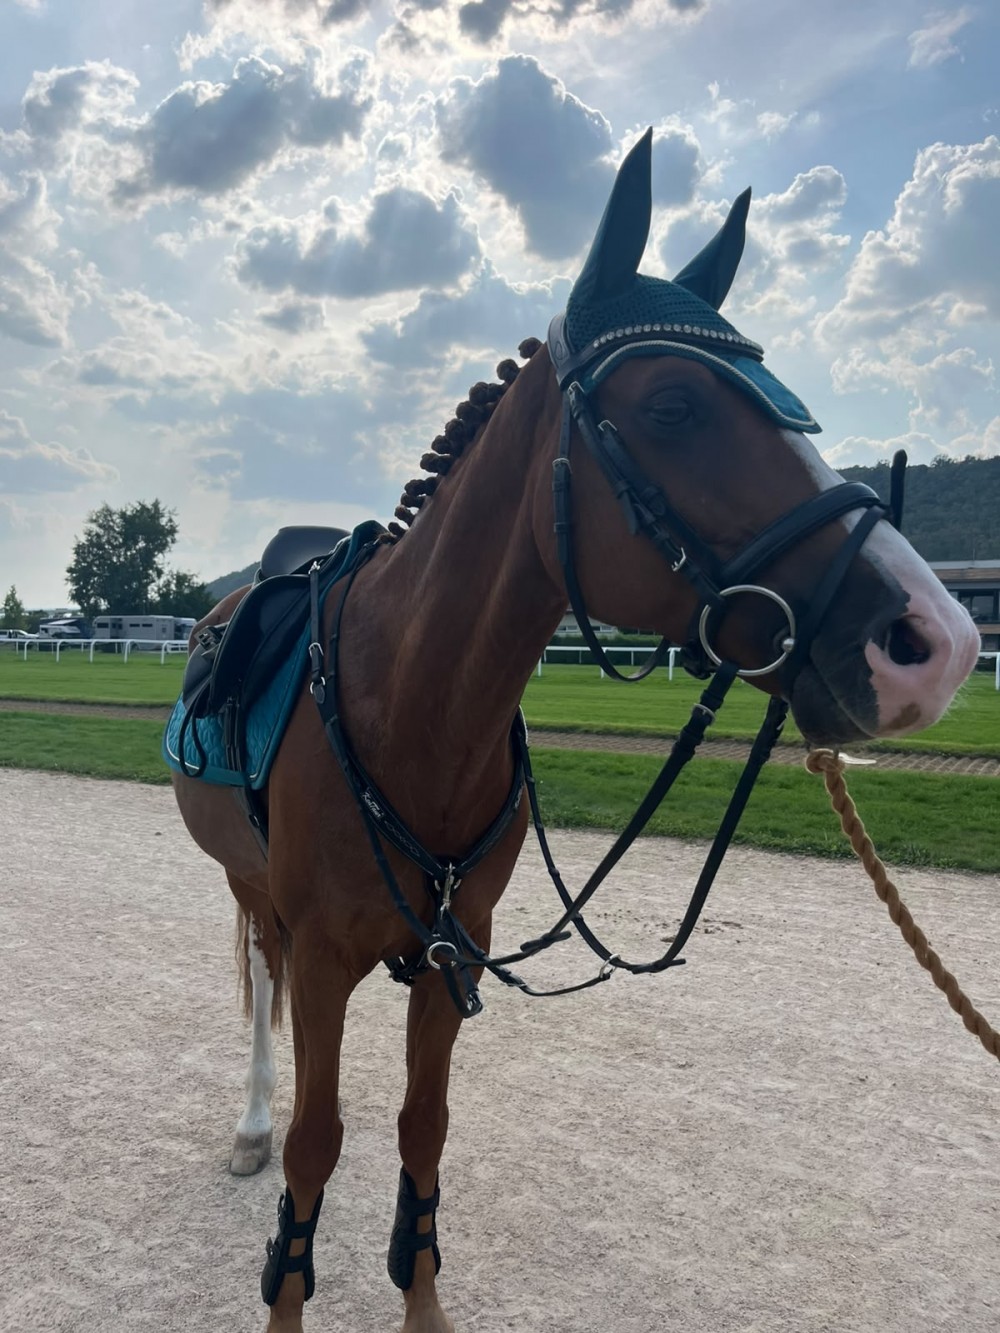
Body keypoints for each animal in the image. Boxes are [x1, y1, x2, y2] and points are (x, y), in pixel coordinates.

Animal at [170, 130, 980, 1333]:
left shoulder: (456, 952)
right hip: (251, 888)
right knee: (263, 993)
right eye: (675, 404)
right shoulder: (321, 952)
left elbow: (422, 1132)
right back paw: (252, 1121)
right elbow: (318, 1145)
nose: (935, 640)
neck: (410, 704)